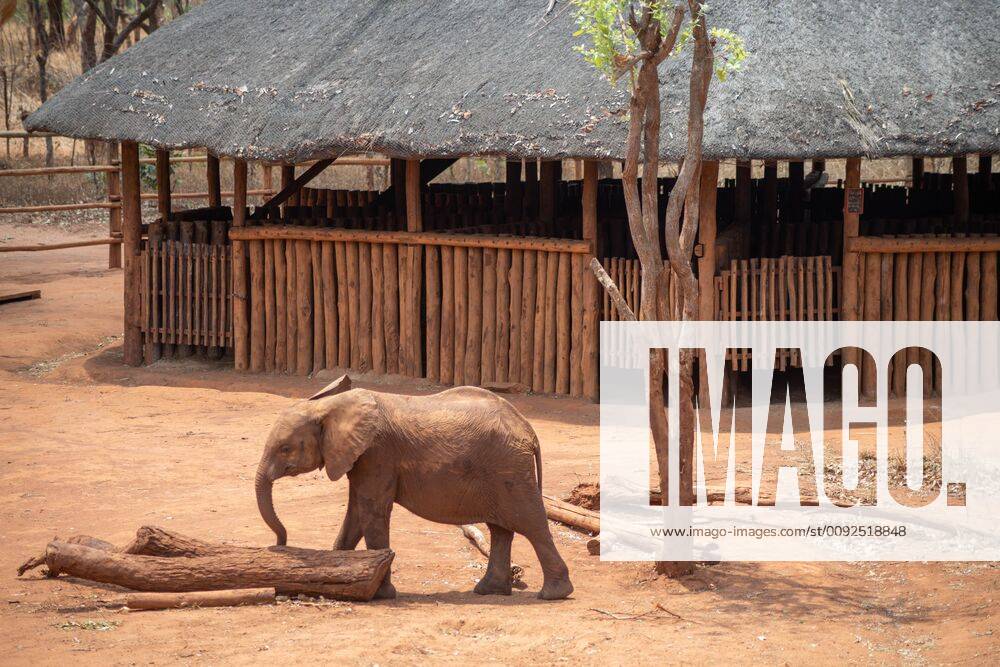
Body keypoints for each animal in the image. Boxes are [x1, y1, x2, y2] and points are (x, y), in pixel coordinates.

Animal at [254, 375, 573, 600]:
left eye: (285, 448)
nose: (280, 543)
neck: (329, 407)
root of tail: (529, 429)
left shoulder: (377, 454)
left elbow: (372, 512)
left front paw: (381, 595)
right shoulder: (360, 459)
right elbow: (356, 512)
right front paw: (337, 580)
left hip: (509, 469)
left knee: (531, 523)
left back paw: (553, 594)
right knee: (501, 529)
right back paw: (488, 590)